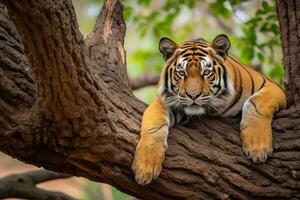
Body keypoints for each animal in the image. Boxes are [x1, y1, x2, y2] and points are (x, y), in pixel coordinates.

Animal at [132, 34, 288, 184]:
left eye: (206, 72)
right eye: (182, 73)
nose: (193, 95)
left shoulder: (272, 86)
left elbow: (255, 103)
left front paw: (258, 149)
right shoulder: (164, 101)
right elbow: (154, 127)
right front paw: (145, 167)